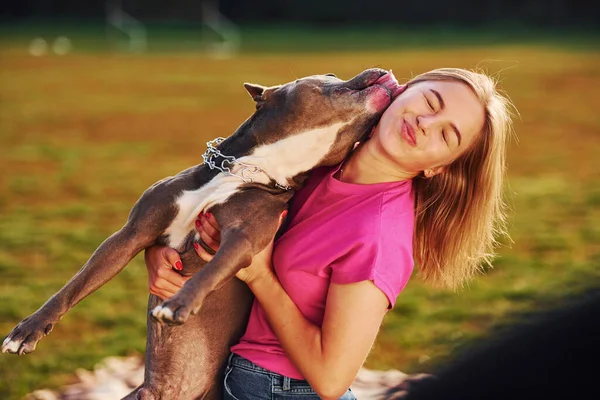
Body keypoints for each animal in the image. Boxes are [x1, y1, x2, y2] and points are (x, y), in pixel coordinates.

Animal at [2, 67, 404, 398]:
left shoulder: (243, 239)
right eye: (331, 75)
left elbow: (211, 269)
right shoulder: (129, 235)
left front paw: (179, 303)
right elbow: (74, 286)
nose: (385, 70)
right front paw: (26, 331)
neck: (247, 170)